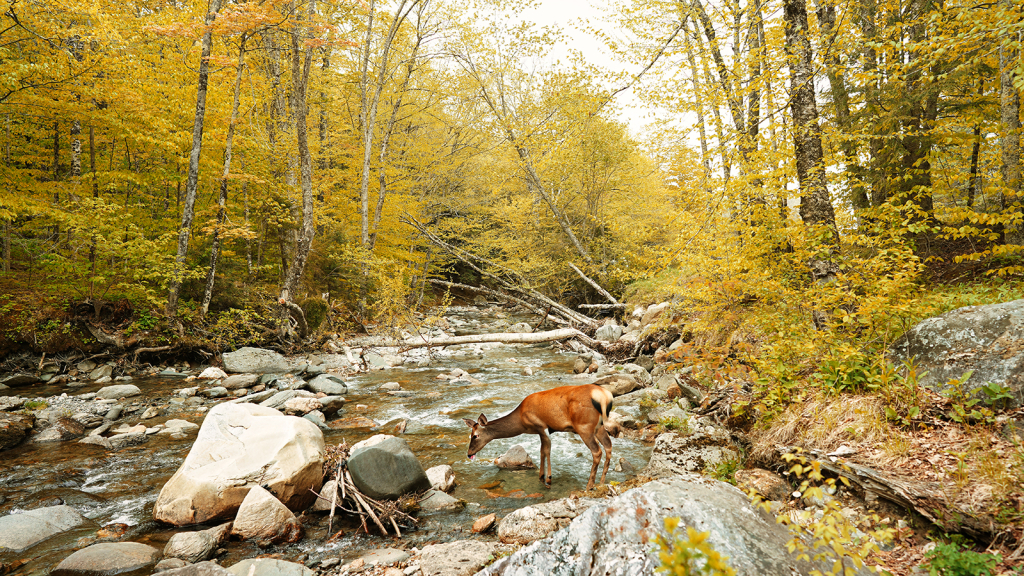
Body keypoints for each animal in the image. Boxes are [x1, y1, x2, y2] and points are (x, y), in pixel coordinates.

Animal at [462, 383, 614, 485]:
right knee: (608, 446)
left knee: (597, 451)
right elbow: (542, 451)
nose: (469, 453)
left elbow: (546, 450)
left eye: (475, 435)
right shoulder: (541, 430)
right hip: (599, 427)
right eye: (470, 435)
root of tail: (605, 397)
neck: (521, 422)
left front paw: (548, 478)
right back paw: (601, 483)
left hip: (584, 426)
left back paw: (589, 485)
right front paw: (541, 476)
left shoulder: (541, 426)